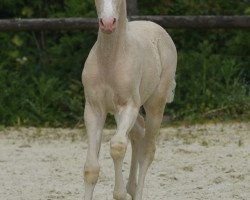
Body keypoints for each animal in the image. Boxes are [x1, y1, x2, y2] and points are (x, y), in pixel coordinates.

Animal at [81, 0, 177, 200]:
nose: (107, 23)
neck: (110, 60)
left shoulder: (128, 106)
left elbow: (117, 146)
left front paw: (120, 193)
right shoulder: (94, 109)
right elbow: (91, 168)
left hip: (155, 104)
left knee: (147, 150)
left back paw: (135, 191)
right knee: (137, 133)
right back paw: (131, 188)